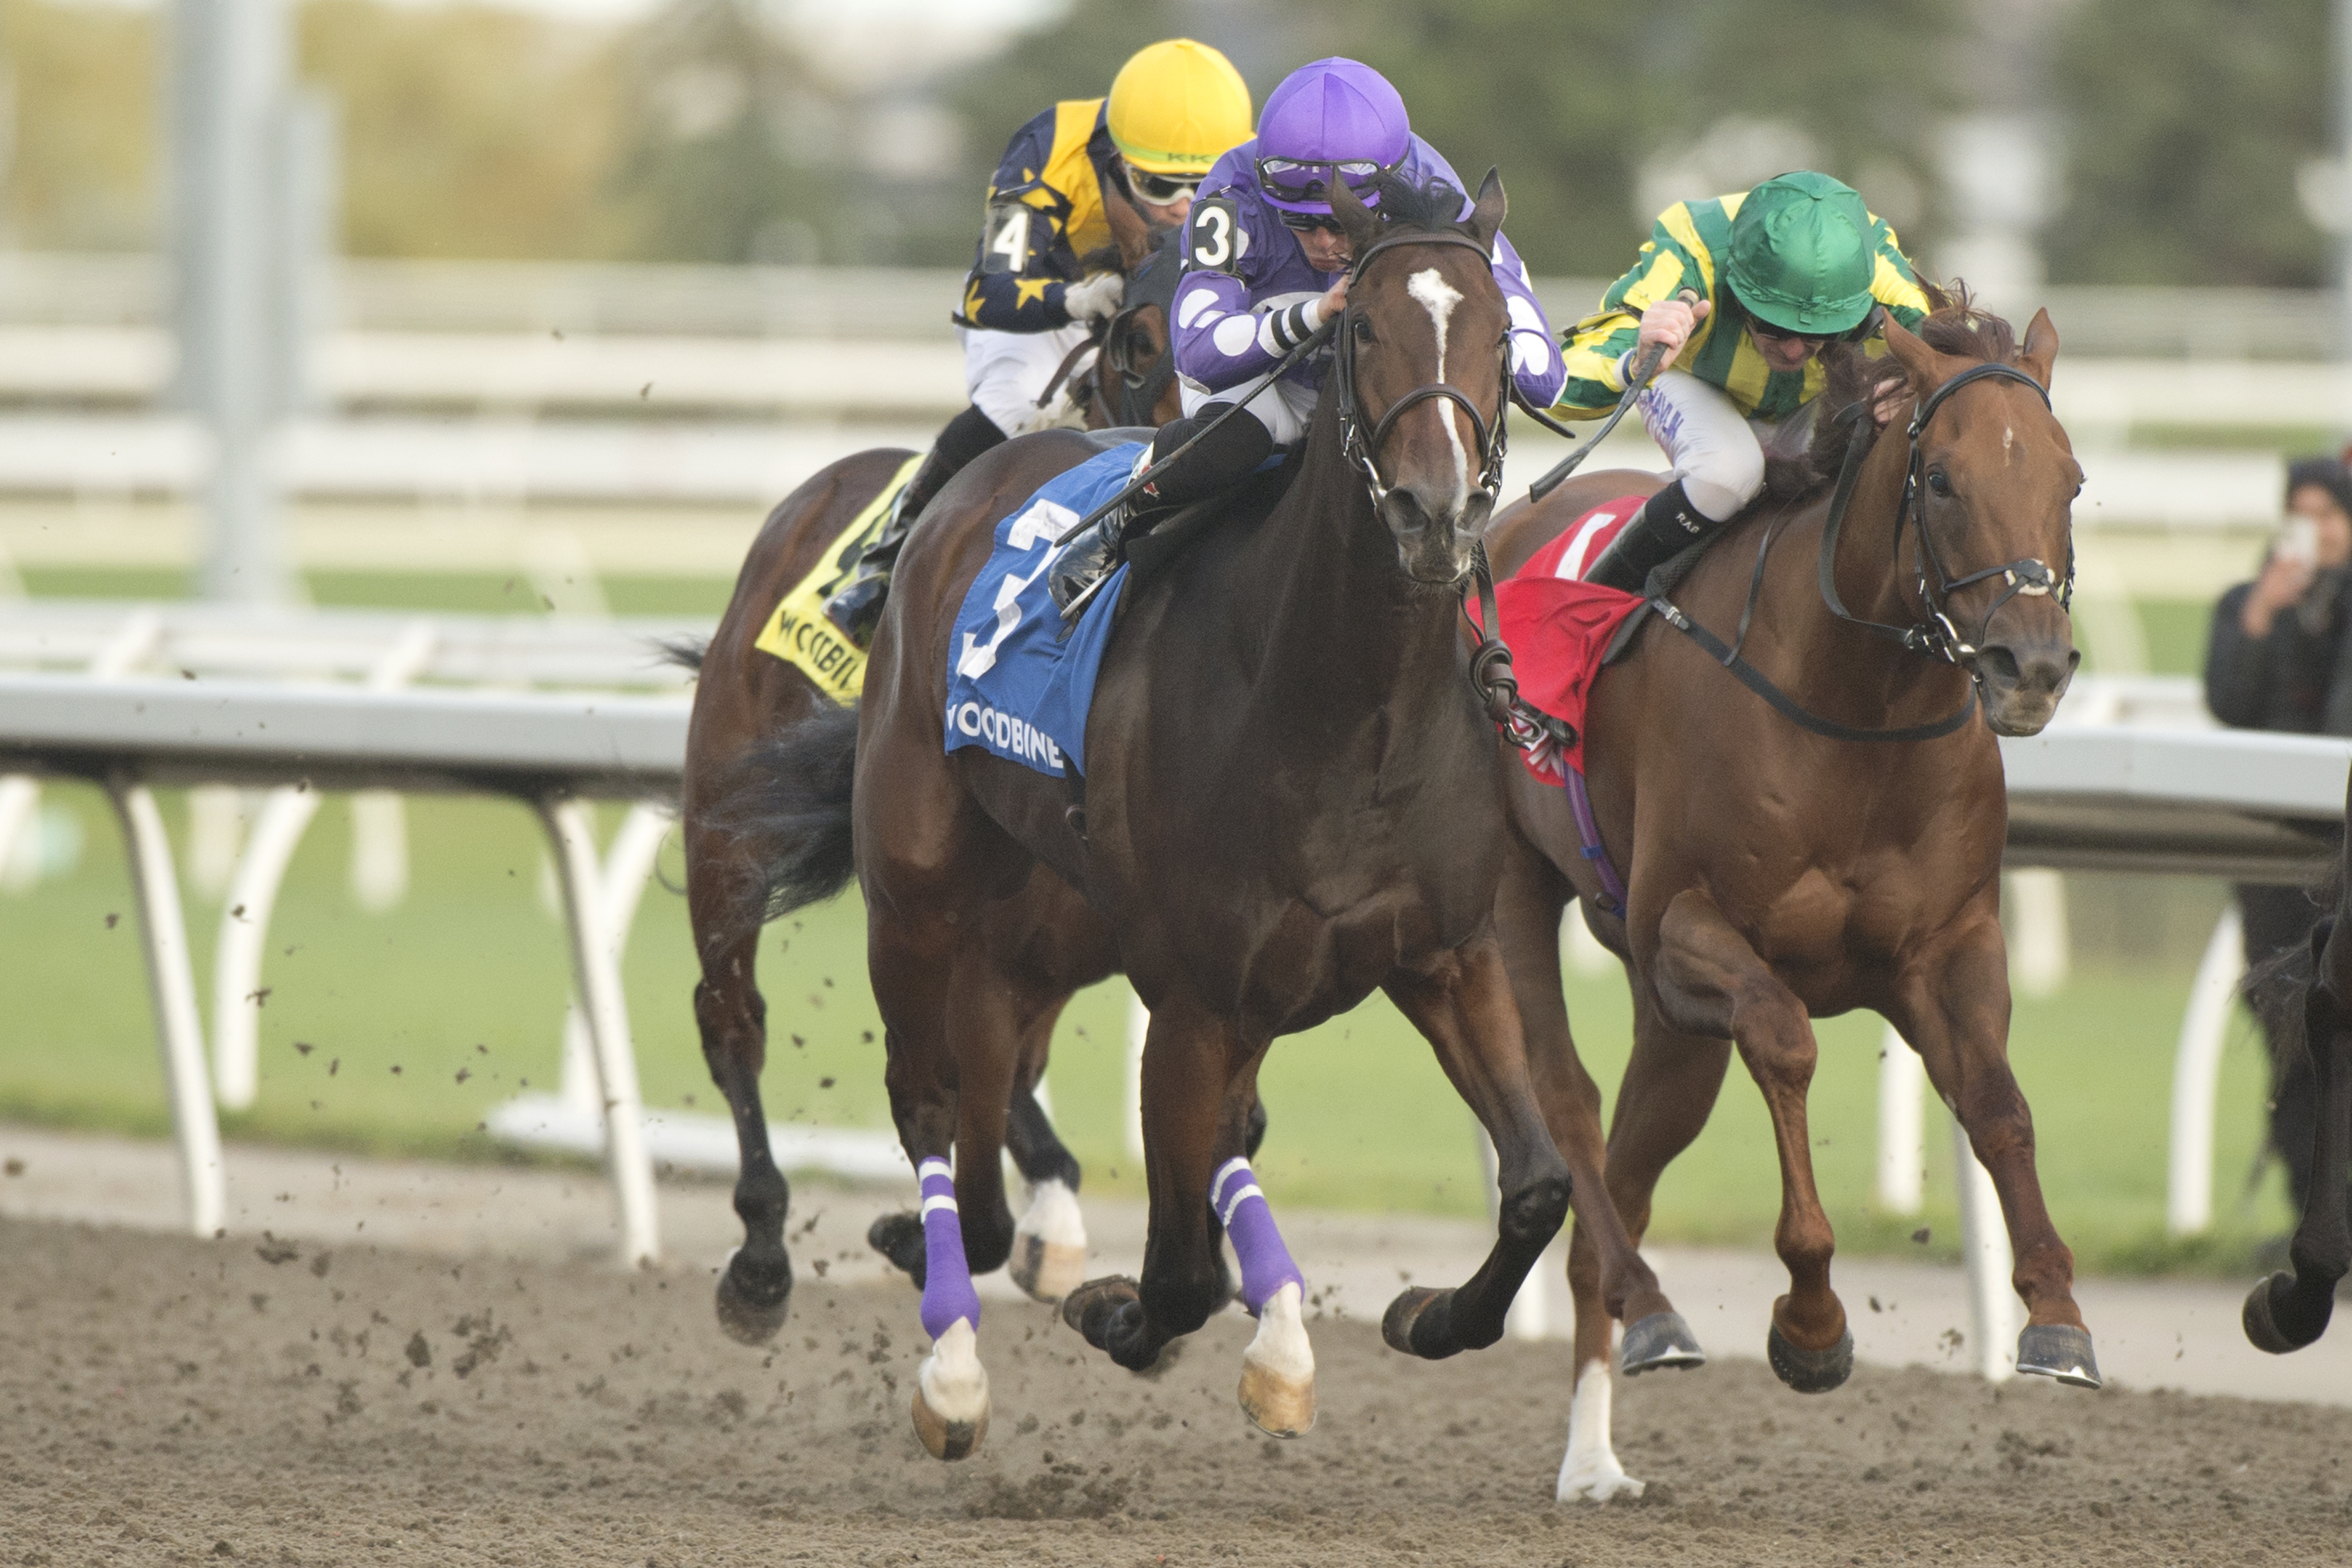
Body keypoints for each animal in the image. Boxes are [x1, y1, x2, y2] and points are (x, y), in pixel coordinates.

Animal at [1486, 287, 2098, 1504]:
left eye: (2071, 478)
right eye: (1943, 480)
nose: (2033, 667)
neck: (1854, 703)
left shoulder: (1948, 947)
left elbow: (1999, 1105)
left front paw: (2056, 1315)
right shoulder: (1684, 931)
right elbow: (1786, 1039)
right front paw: (1811, 1326)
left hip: (1671, 1031)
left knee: (1622, 1177)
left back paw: (1602, 1439)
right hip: (1516, 897)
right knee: (1569, 1112)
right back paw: (1644, 1332)